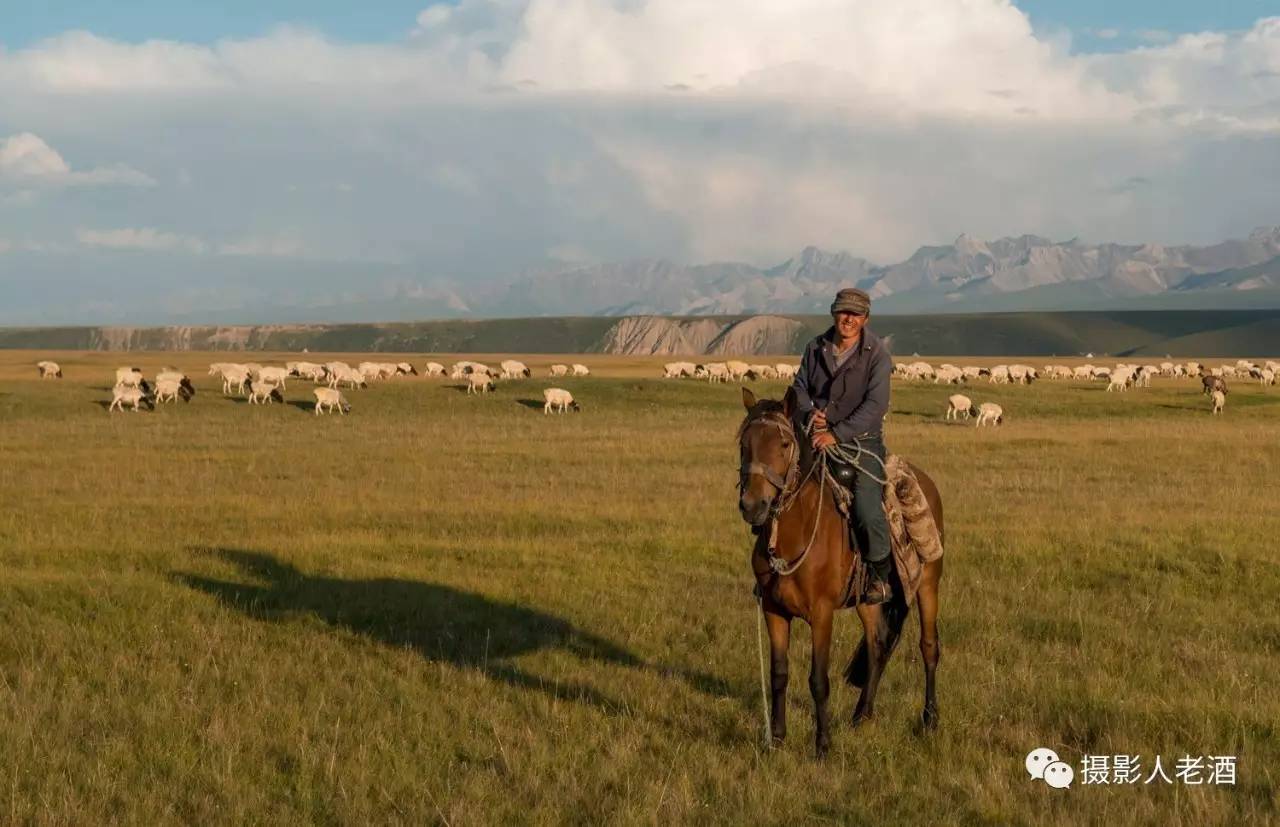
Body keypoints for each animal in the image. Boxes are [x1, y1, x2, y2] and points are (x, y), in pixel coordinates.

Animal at [742, 389, 942, 757]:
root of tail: (924, 480)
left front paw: (822, 745)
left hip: (928, 585)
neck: (796, 530)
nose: (752, 506)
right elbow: (779, 674)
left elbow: (818, 680)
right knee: (877, 645)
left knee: (929, 646)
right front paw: (777, 738)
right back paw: (862, 715)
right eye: (744, 443)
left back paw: (929, 719)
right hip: (868, 600)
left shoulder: (821, 614)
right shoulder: (774, 611)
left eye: (784, 444)